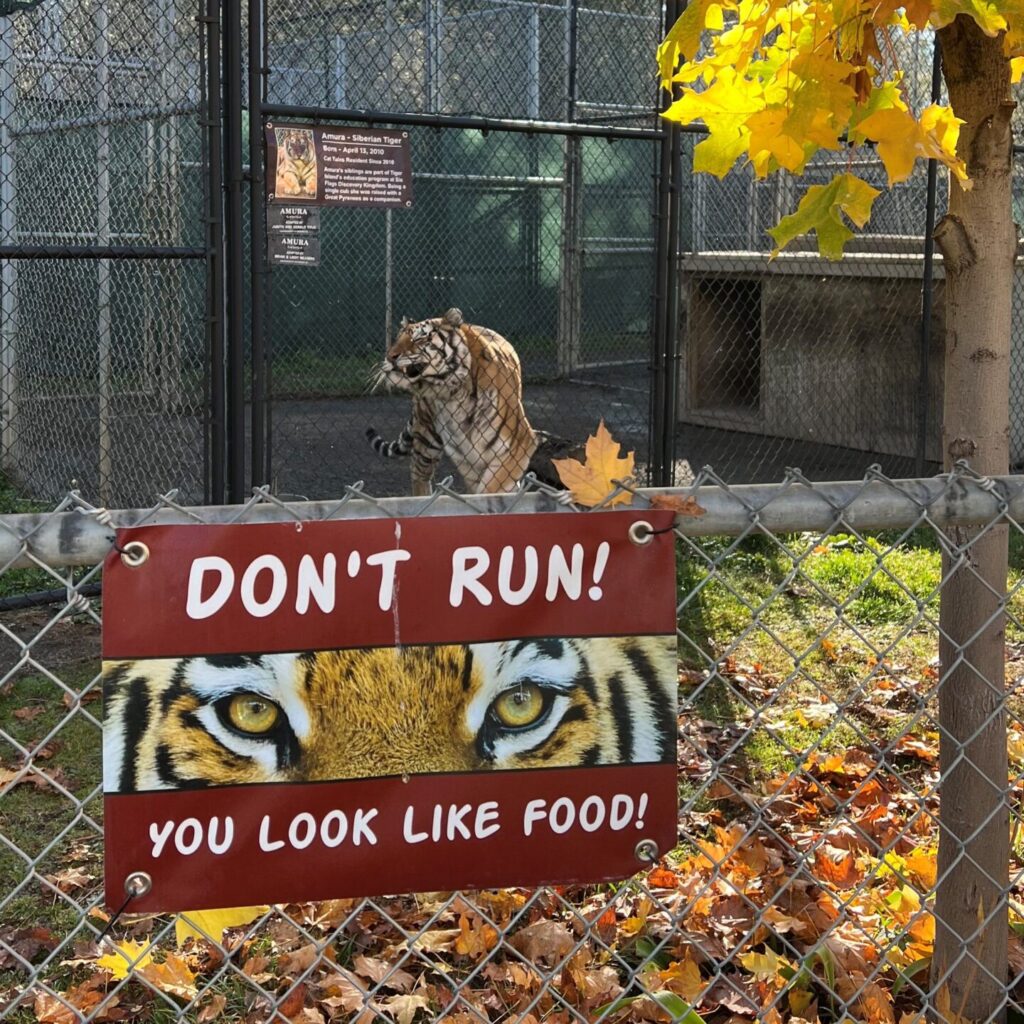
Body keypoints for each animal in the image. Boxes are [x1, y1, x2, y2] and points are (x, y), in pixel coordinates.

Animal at [365, 308, 541, 496]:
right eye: (397, 339)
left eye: (419, 338)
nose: (390, 356)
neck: (454, 394)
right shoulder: (466, 459)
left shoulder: (519, 445)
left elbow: (491, 488)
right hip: (427, 438)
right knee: (418, 473)